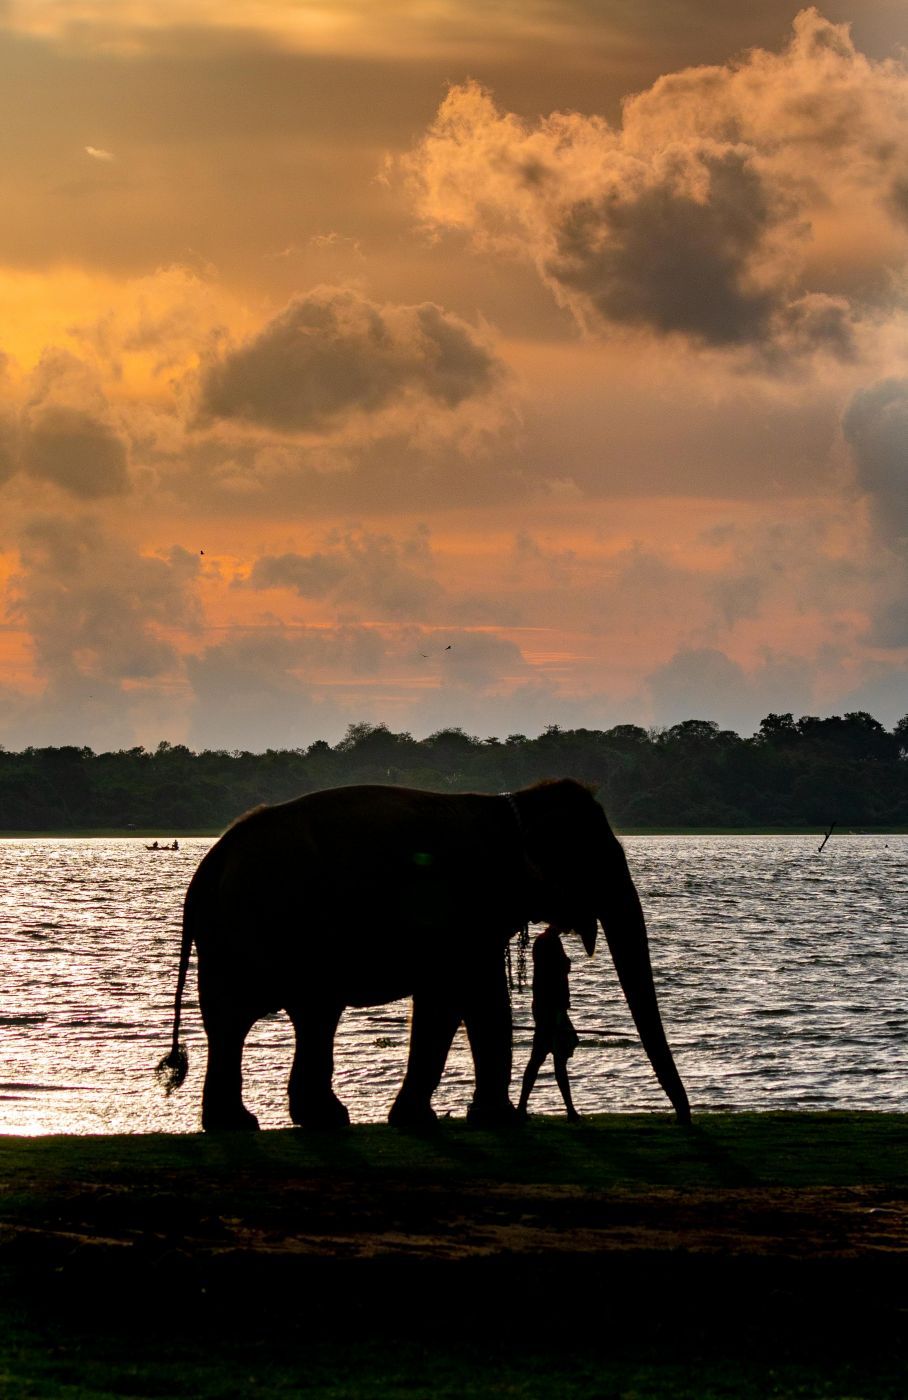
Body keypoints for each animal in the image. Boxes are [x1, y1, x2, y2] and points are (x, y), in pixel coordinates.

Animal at [156, 779, 691, 1131]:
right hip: (278, 923)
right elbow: (472, 998)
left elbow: (452, 1001)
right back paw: (309, 1121)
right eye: (597, 858)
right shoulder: (468, 909)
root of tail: (211, 863)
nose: (684, 1119)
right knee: (301, 1013)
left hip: (231, 938)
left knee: (239, 1021)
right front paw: (490, 1121)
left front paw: (424, 1119)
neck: (513, 806)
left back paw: (248, 1124)